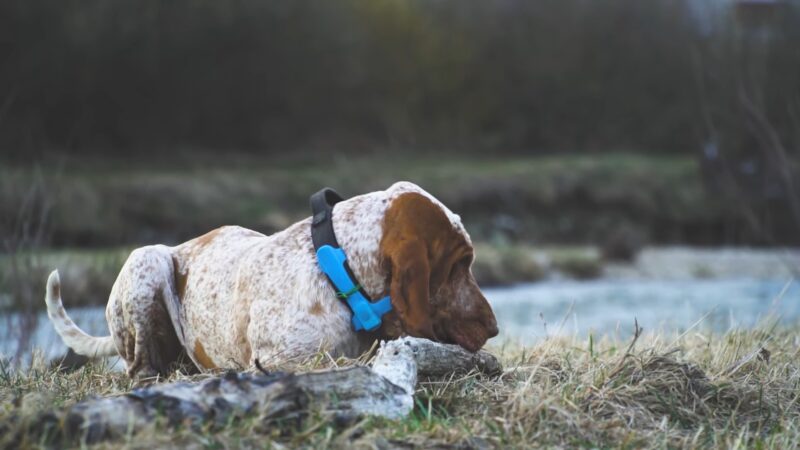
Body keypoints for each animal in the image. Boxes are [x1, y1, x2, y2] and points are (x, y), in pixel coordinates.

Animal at [43, 180, 496, 376]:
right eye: (461, 263)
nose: (492, 328)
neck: (338, 275)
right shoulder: (285, 361)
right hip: (147, 260)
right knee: (140, 370)